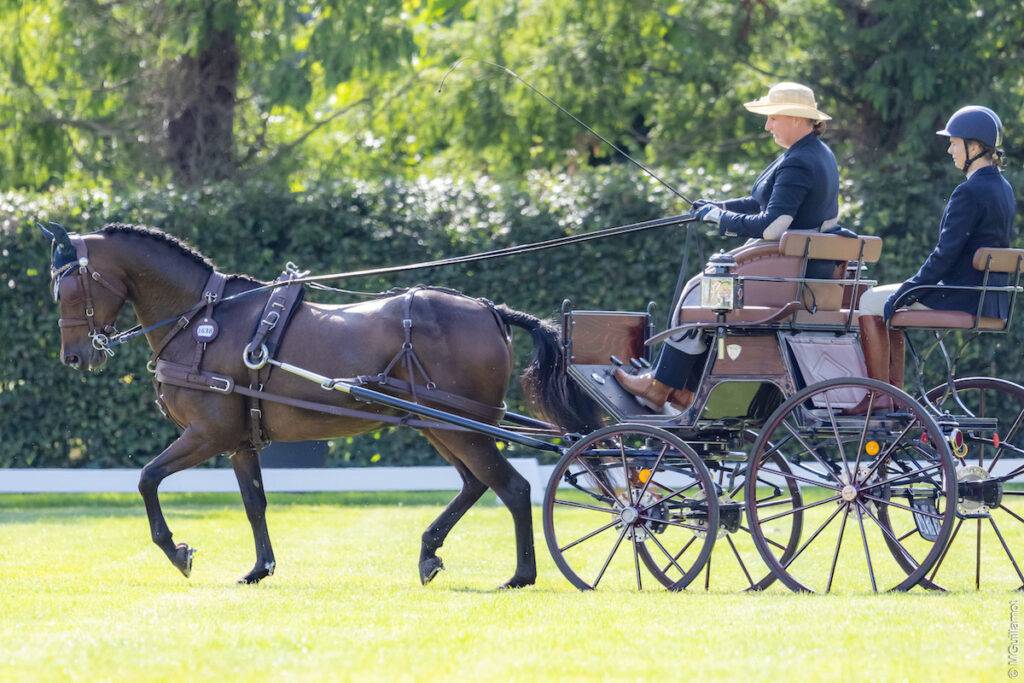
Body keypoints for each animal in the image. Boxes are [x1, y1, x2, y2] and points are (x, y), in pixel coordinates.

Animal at [42, 222, 599, 588]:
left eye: (67, 286)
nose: (75, 356)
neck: (203, 320)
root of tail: (490, 310)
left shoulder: (206, 434)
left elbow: (147, 478)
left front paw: (177, 551)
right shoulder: (239, 442)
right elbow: (254, 503)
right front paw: (259, 568)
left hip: (461, 426)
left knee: (513, 487)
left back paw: (521, 575)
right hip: (437, 424)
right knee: (476, 484)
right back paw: (429, 553)